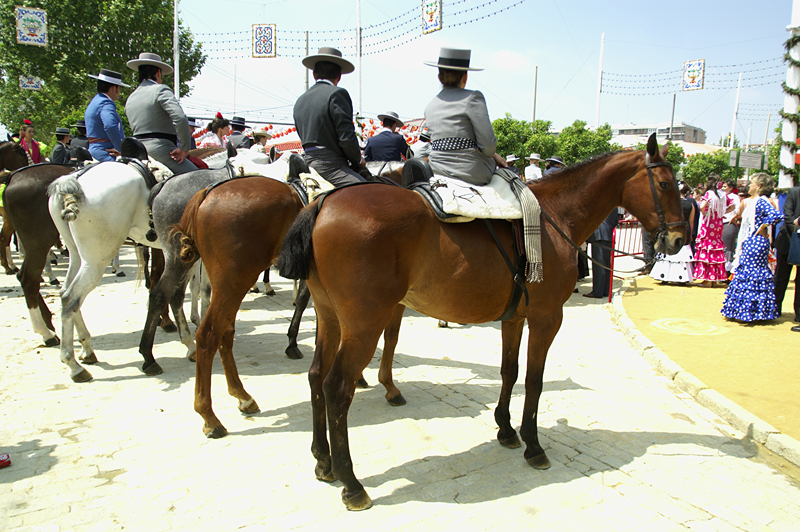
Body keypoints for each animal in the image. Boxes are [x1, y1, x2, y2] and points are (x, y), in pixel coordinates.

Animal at [276, 135, 688, 510]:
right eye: (666, 184)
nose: (679, 238)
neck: (554, 217)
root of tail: (323, 202)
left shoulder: (515, 318)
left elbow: (509, 370)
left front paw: (505, 428)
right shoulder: (547, 319)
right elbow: (534, 382)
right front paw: (533, 444)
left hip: (330, 318)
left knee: (316, 376)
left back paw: (324, 460)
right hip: (363, 325)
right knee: (337, 389)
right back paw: (351, 482)